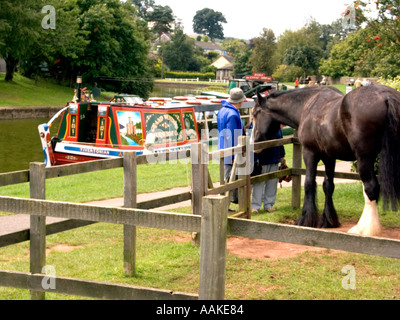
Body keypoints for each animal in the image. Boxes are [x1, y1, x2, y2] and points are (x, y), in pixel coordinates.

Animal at [255, 86, 400, 236]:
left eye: (255, 114)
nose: (255, 142)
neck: (307, 105)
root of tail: (387, 96)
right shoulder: (329, 157)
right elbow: (328, 185)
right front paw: (328, 220)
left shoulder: (310, 153)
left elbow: (309, 183)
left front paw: (305, 219)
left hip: (364, 159)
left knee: (371, 188)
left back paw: (364, 229)